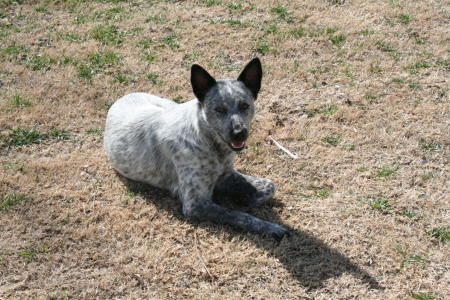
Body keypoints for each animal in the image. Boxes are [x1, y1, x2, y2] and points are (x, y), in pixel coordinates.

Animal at [103, 58, 290, 241]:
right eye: (219, 109)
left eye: (244, 105)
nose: (239, 133)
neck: (211, 144)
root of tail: (123, 97)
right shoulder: (195, 204)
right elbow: (241, 216)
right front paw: (271, 227)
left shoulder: (225, 175)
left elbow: (270, 185)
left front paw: (249, 196)